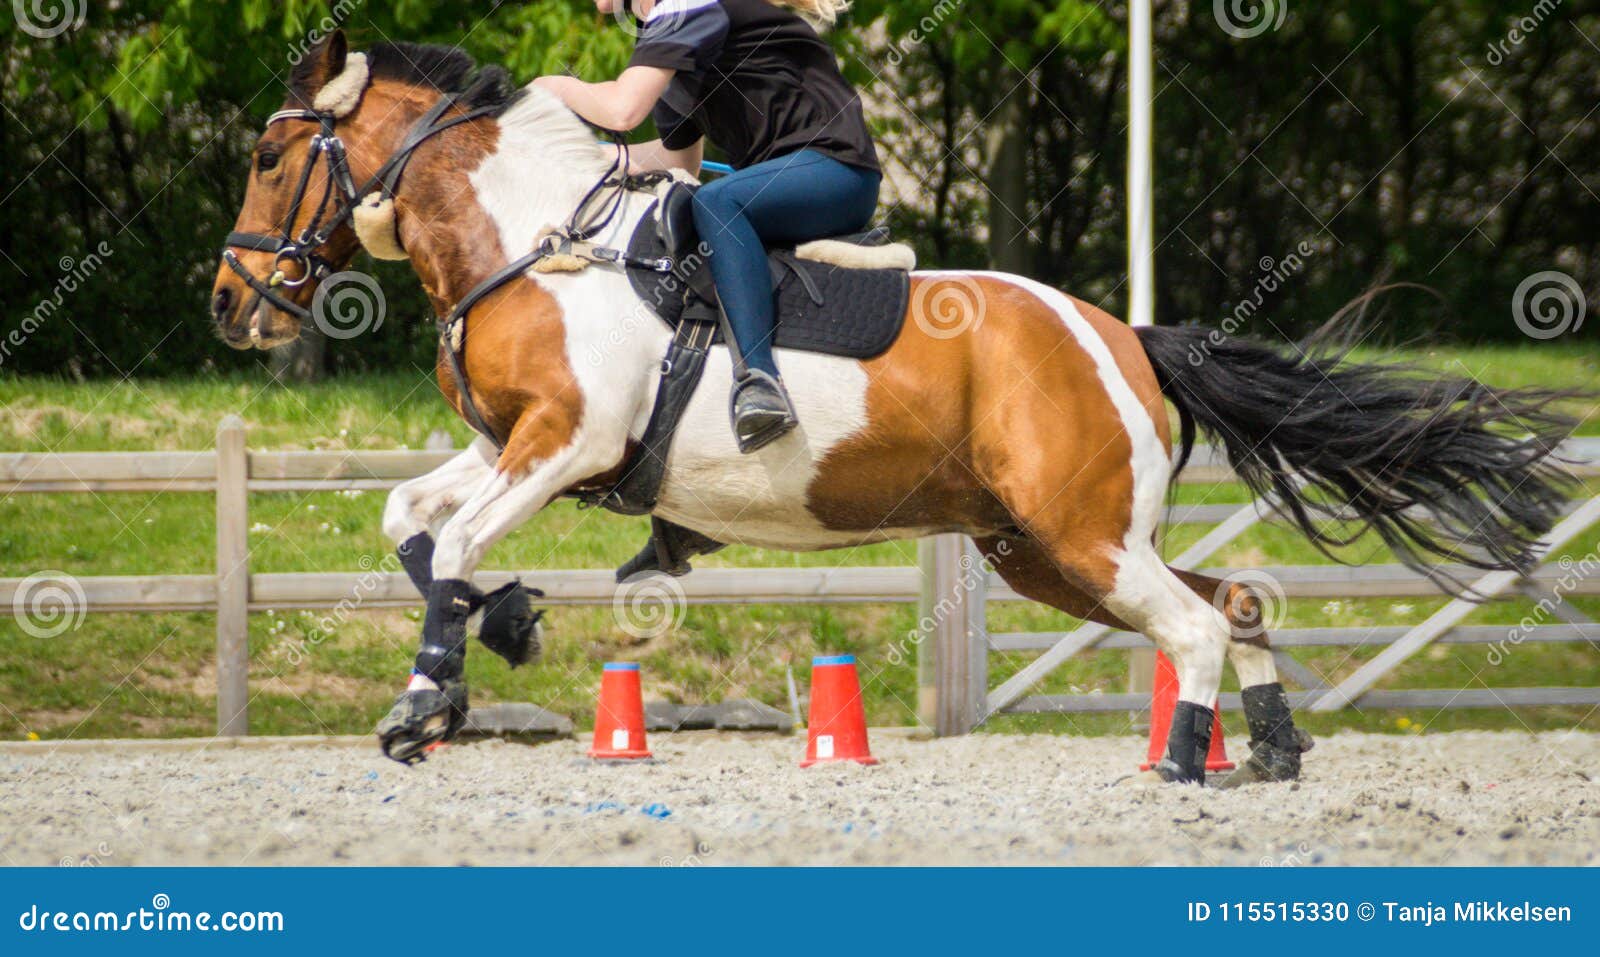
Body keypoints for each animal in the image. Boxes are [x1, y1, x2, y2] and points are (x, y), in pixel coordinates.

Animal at [210, 32, 1577, 780]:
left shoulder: (564, 443)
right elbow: (412, 519)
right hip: (1046, 550)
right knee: (1228, 600)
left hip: (1079, 535)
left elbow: (454, 541)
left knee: (1190, 627)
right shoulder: (511, 444)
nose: (232, 307)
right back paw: (1276, 746)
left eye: (271, 159)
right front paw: (500, 625)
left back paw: (1190, 771)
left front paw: (428, 699)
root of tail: (1124, 335)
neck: (534, 245)